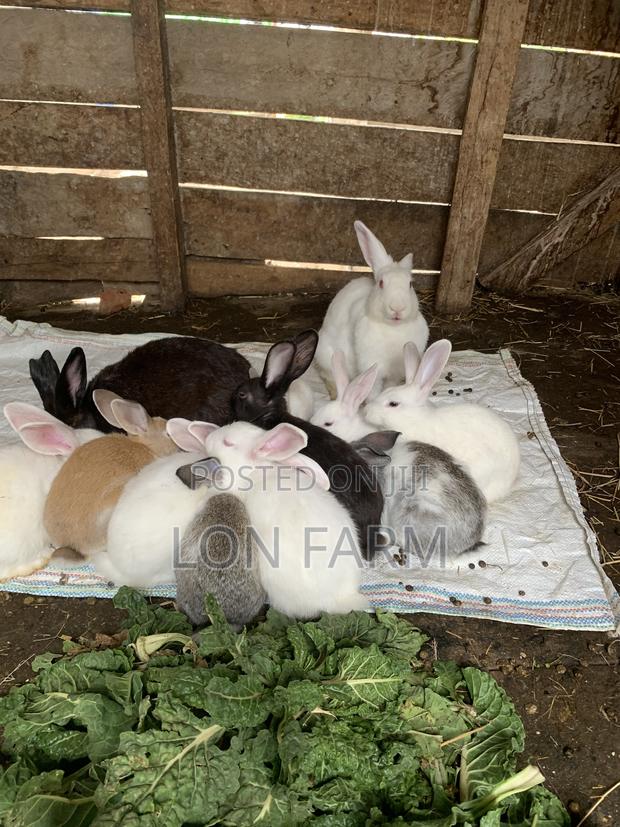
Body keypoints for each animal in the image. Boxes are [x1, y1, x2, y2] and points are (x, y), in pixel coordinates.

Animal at [315, 220, 429, 398]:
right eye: (381, 283)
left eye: (410, 284)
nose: (397, 307)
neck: (394, 329)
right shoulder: (371, 367)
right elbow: (372, 390)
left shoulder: (394, 374)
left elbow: (389, 387)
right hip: (326, 356)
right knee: (329, 376)